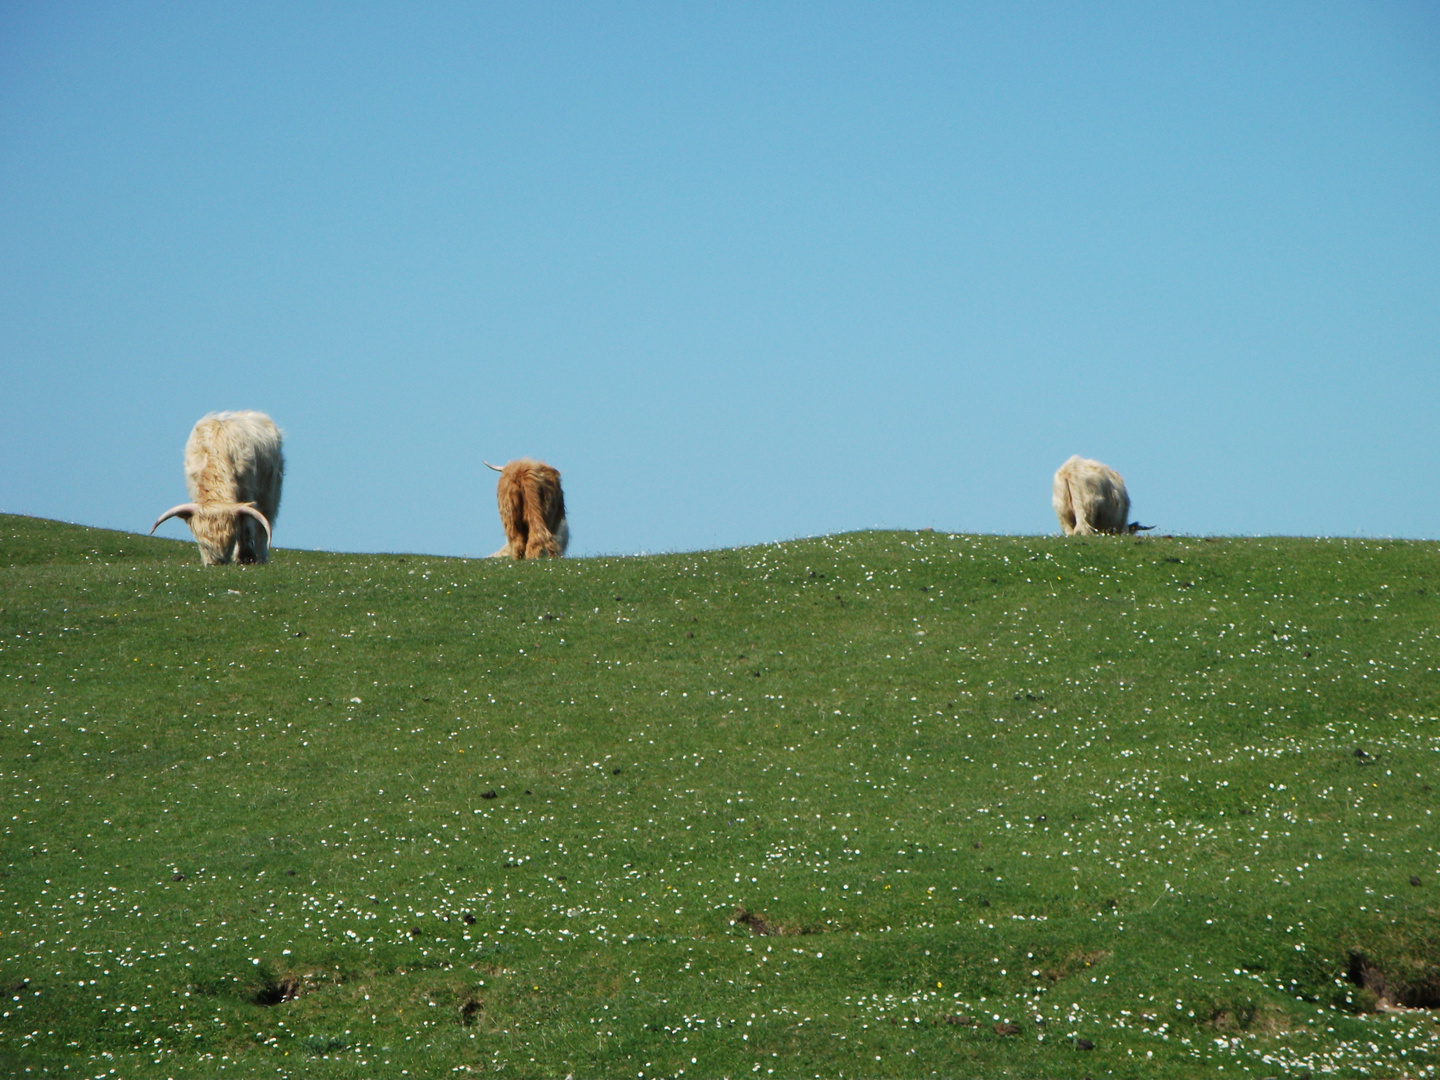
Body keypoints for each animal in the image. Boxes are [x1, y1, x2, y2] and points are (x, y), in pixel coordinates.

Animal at [153, 411, 285, 567]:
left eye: (230, 542)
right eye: (202, 543)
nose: (215, 563)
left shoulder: (246, 492)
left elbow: (246, 526)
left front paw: (246, 556)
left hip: (271, 491)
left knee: (264, 524)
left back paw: (261, 557)